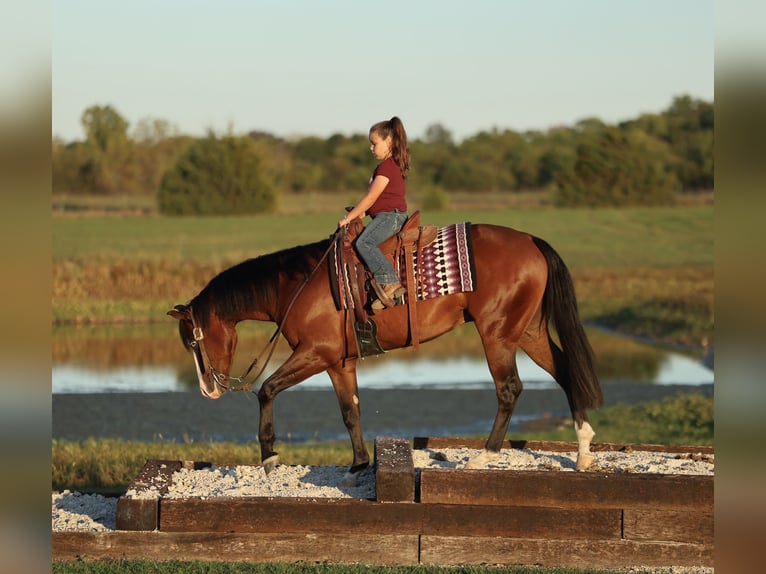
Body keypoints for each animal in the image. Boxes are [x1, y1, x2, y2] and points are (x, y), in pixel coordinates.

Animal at [168, 222, 604, 484]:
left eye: (192, 340)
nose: (209, 389)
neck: (294, 285)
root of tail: (531, 241)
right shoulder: (338, 362)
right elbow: (350, 411)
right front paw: (359, 465)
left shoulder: (316, 353)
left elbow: (267, 390)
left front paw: (269, 456)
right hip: (527, 331)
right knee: (566, 372)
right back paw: (583, 452)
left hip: (497, 333)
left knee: (509, 389)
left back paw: (484, 457)